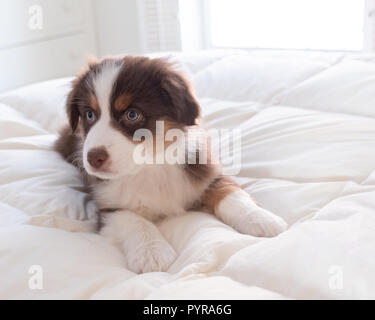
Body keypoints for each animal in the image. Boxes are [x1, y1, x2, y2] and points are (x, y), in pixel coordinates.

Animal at [55, 55, 288, 272]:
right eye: (89, 114)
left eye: (132, 114)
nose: (93, 158)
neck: (150, 166)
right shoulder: (107, 204)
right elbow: (133, 220)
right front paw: (151, 252)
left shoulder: (206, 173)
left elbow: (231, 193)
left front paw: (260, 218)